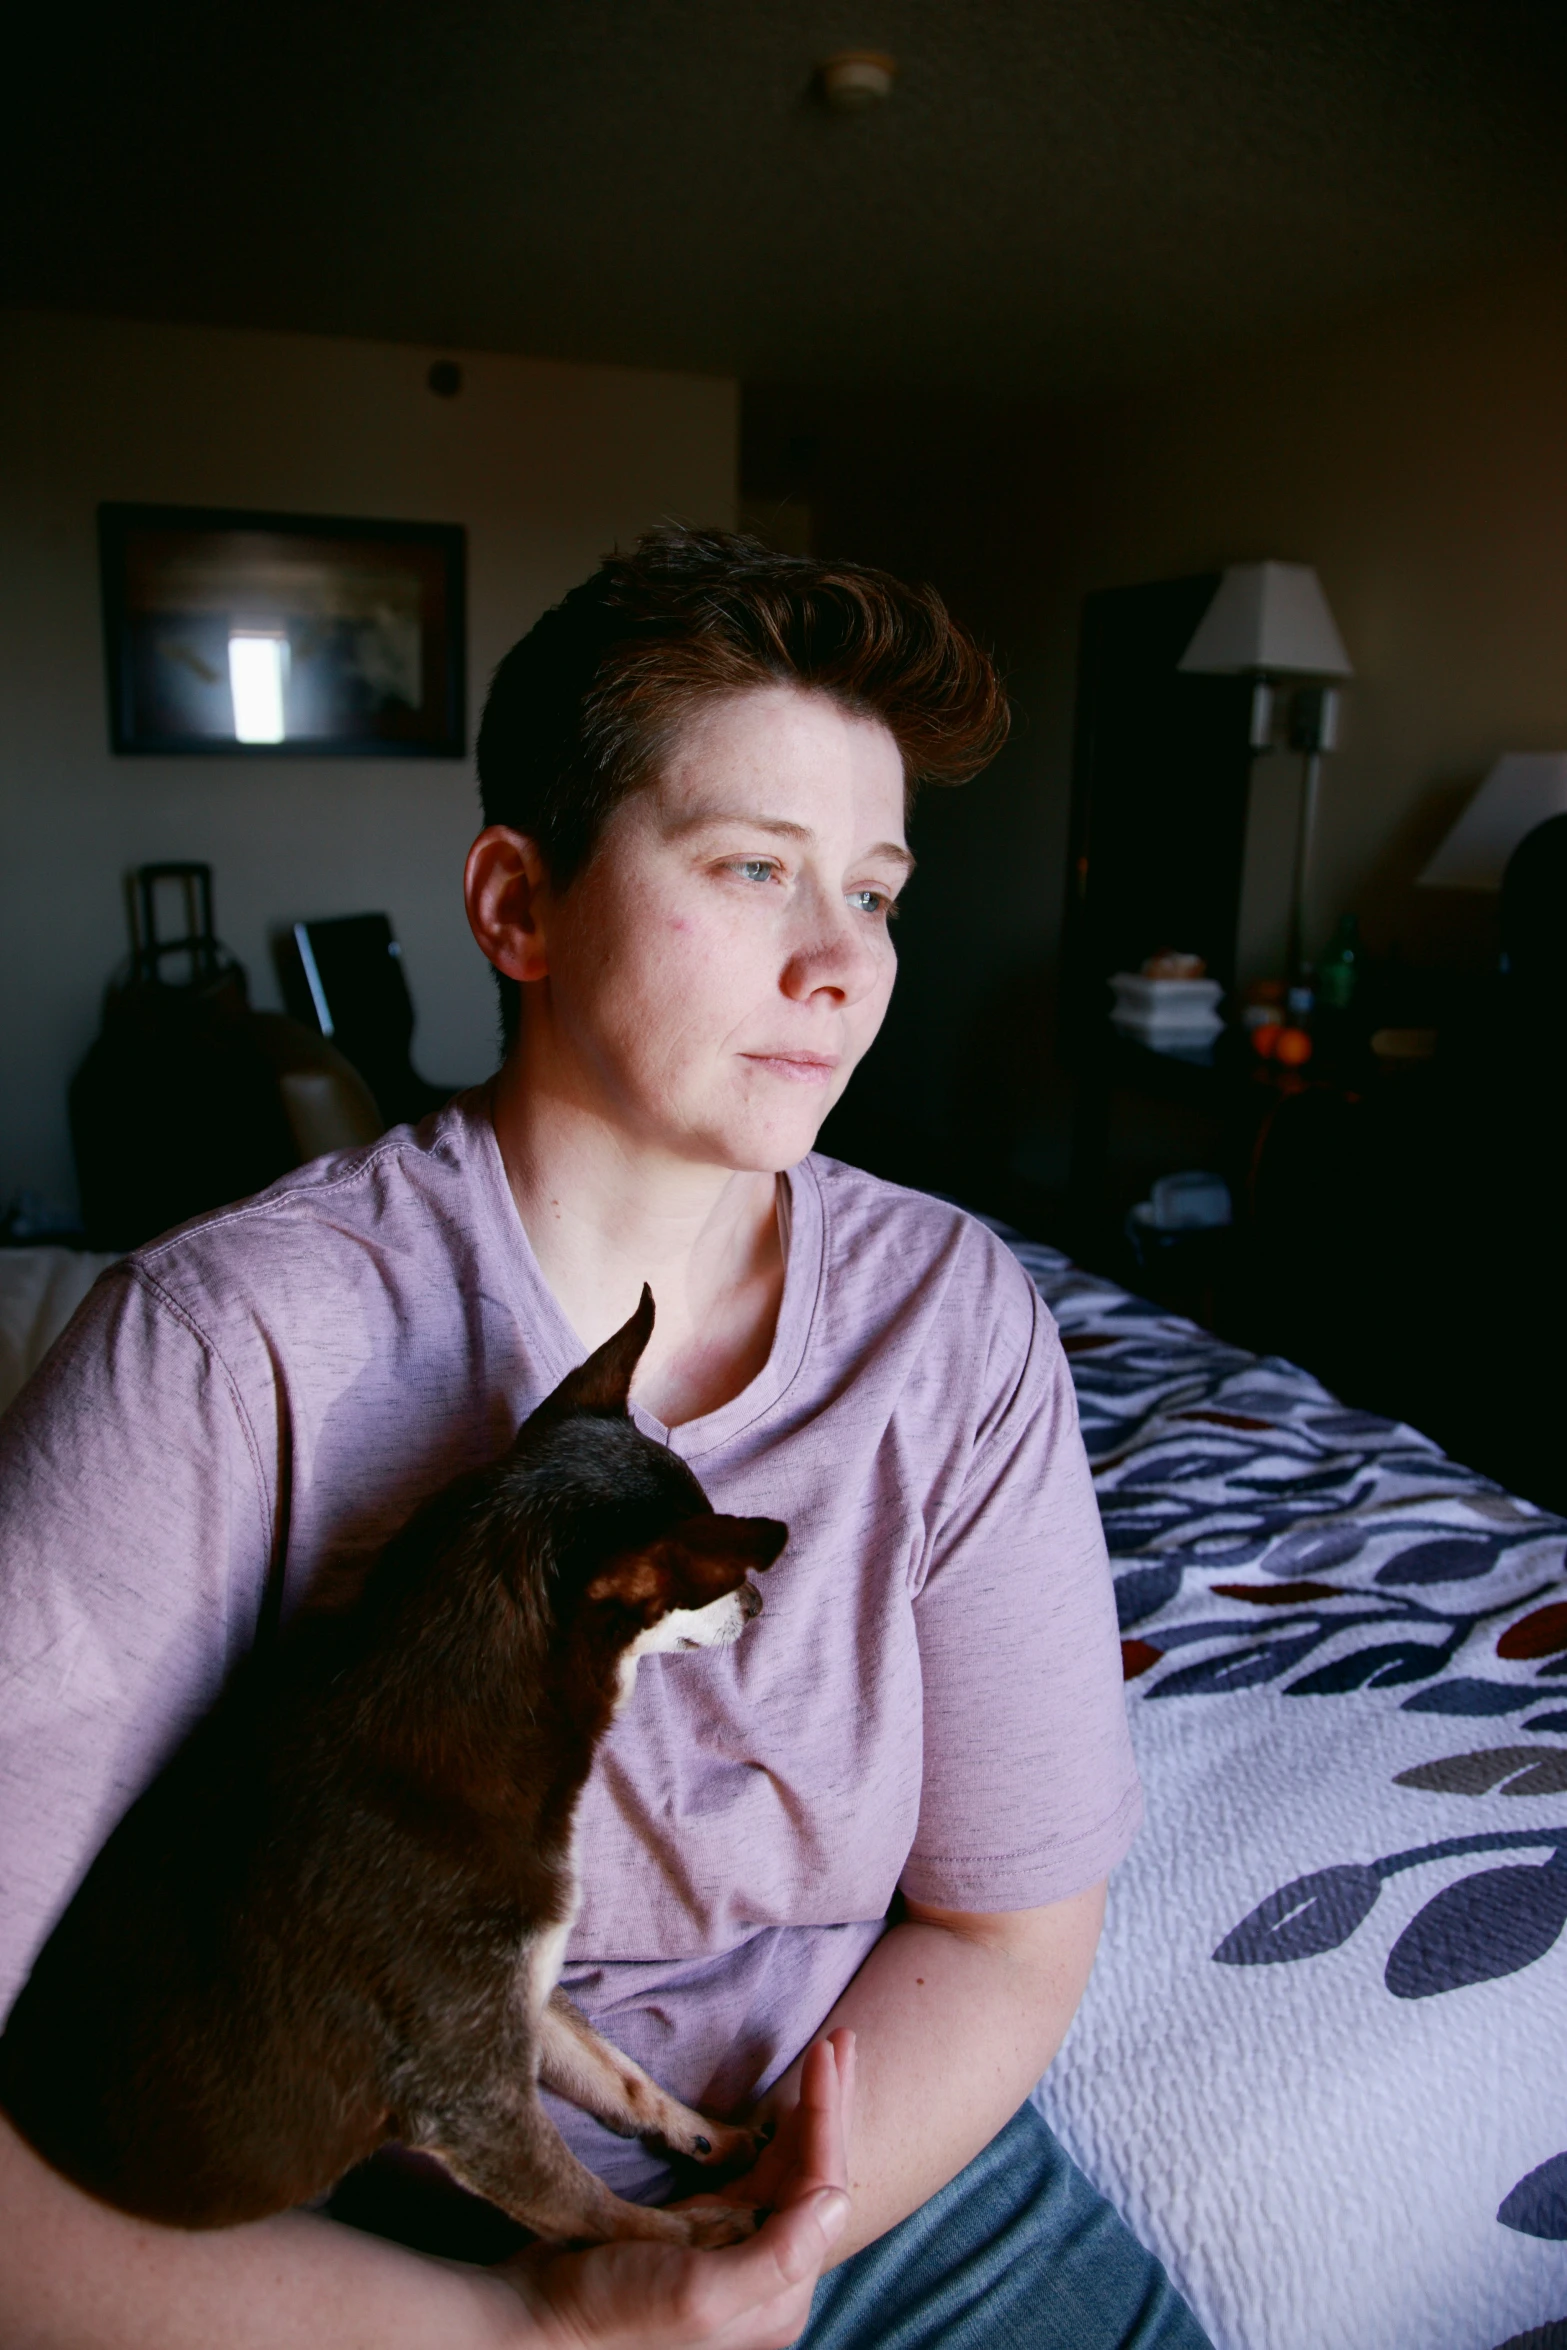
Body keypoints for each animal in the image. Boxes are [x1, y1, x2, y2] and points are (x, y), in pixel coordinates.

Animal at [0, 1297, 784, 2246]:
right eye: (714, 1578)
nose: (760, 1602)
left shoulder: (519, 2009)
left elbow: (622, 2078)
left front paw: (711, 2137)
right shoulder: (470, 2095)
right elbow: (594, 2210)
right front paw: (698, 2235)